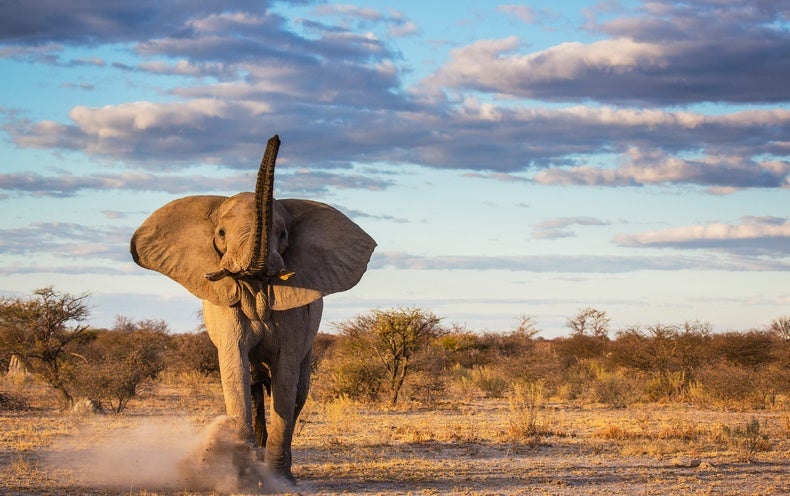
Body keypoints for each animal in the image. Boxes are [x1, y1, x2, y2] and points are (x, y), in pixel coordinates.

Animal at [130, 135, 376, 480]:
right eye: (221, 233)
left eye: (283, 234)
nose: (275, 139)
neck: (255, 283)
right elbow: (235, 370)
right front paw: (243, 474)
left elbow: (285, 380)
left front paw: (278, 479)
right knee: (255, 385)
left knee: (297, 391)